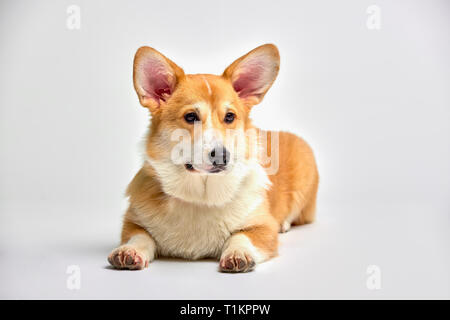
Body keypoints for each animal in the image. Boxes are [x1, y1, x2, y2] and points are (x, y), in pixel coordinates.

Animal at [108, 43, 320, 272]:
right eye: (191, 116)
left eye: (230, 117)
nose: (222, 156)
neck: (201, 196)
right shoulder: (133, 222)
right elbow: (139, 237)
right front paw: (129, 251)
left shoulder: (262, 227)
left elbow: (241, 236)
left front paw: (238, 253)